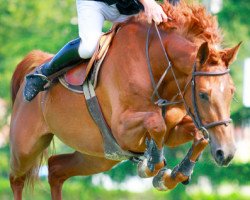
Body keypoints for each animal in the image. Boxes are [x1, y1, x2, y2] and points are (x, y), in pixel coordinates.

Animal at [9, 1, 240, 200]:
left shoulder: (173, 130)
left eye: (232, 92)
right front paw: (151, 165)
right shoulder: (122, 130)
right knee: (16, 179)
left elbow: (200, 136)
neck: (156, 68)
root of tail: (33, 66)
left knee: (56, 169)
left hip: (98, 156)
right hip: (25, 148)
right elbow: (156, 124)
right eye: (203, 94)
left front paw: (173, 175)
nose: (226, 153)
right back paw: (35, 82)